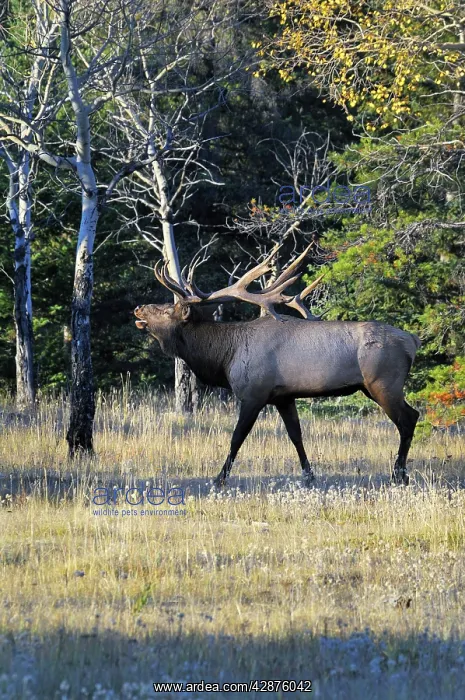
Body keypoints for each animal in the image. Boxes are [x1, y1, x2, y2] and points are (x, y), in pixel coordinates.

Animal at [134, 244, 421, 487]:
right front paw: (309, 476)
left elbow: (237, 437)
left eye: (166, 311)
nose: (139, 308)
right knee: (411, 416)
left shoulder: (254, 393)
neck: (224, 357)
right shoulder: (284, 397)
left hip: (383, 383)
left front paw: (219, 478)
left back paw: (399, 475)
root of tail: (412, 340)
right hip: (374, 387)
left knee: (408, 419)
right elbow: (296, 435)